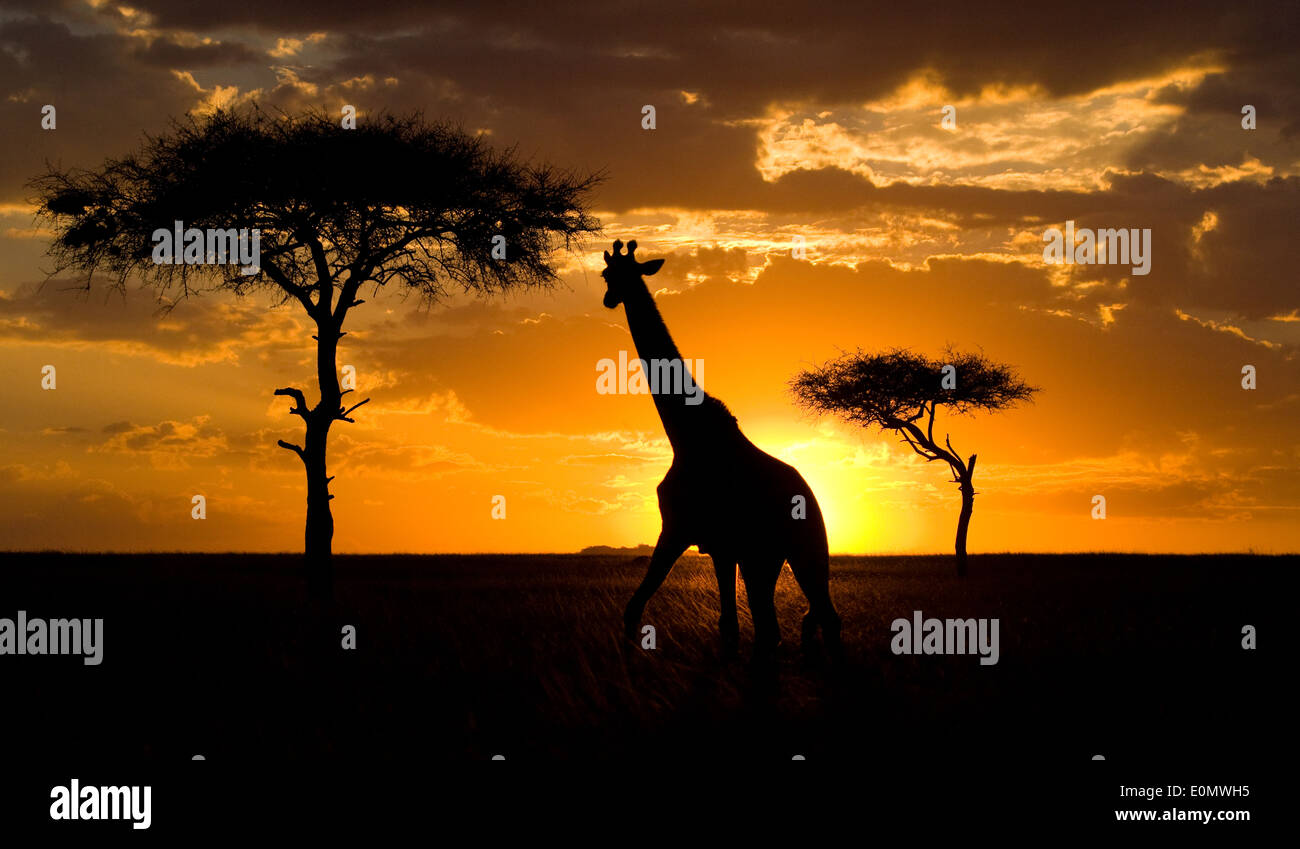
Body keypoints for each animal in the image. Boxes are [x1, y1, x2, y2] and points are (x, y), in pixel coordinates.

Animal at [600, 237, 842, 655]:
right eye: (607, 273)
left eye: (622, 274)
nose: (609, 299)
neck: (685, 434)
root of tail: (812, 497)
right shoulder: (721, 544)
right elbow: (729, 625)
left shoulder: (678, 527)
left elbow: (636, 607)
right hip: (769, 555)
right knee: (777, 626)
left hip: (802, 547)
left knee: (819, 616)